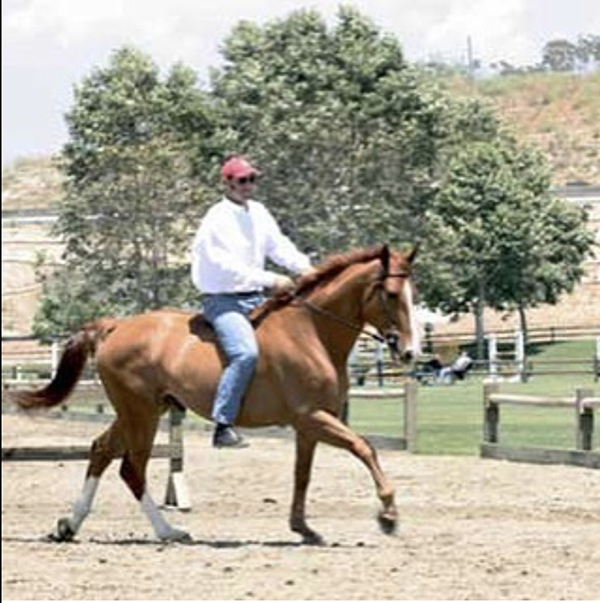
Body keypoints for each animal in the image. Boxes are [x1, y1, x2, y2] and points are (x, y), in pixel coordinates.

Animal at [14, 243, 420, 544]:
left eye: (412, 295)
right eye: (391, 294)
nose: (410, 352)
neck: (311, 333)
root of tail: (115, 326)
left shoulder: (309, 426)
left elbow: (302, 475)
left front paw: (303, 528)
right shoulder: (313, 417)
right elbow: (364, 447)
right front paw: (388, 515)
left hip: (140, 412)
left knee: (101, 451)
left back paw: (69, 526)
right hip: (140, 415)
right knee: (132, 469)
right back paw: (169, 531)